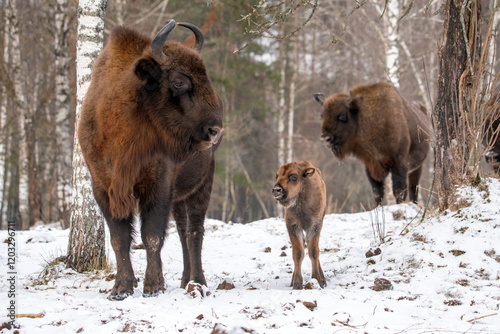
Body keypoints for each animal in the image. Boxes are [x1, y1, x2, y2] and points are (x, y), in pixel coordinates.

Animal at [79, 21, 224, 302]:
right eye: (179, 82)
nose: (215, 130)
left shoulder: (158, 186)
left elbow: (152, 236)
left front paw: (153, 286)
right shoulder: (104, 187)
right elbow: (119, 239)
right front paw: (120, 289)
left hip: (202, 185)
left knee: (195, 232)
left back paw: (198, 281)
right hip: (179, 197)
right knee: (182, 231)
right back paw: (184, 280)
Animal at [272, 160, 326, 288]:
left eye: (293, 177)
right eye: (277, 176)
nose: (276, 190)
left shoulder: (315, 226)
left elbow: (314, 251)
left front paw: (318, 280)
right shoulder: (293, 227)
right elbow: (298, 252)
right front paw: (296, 284)